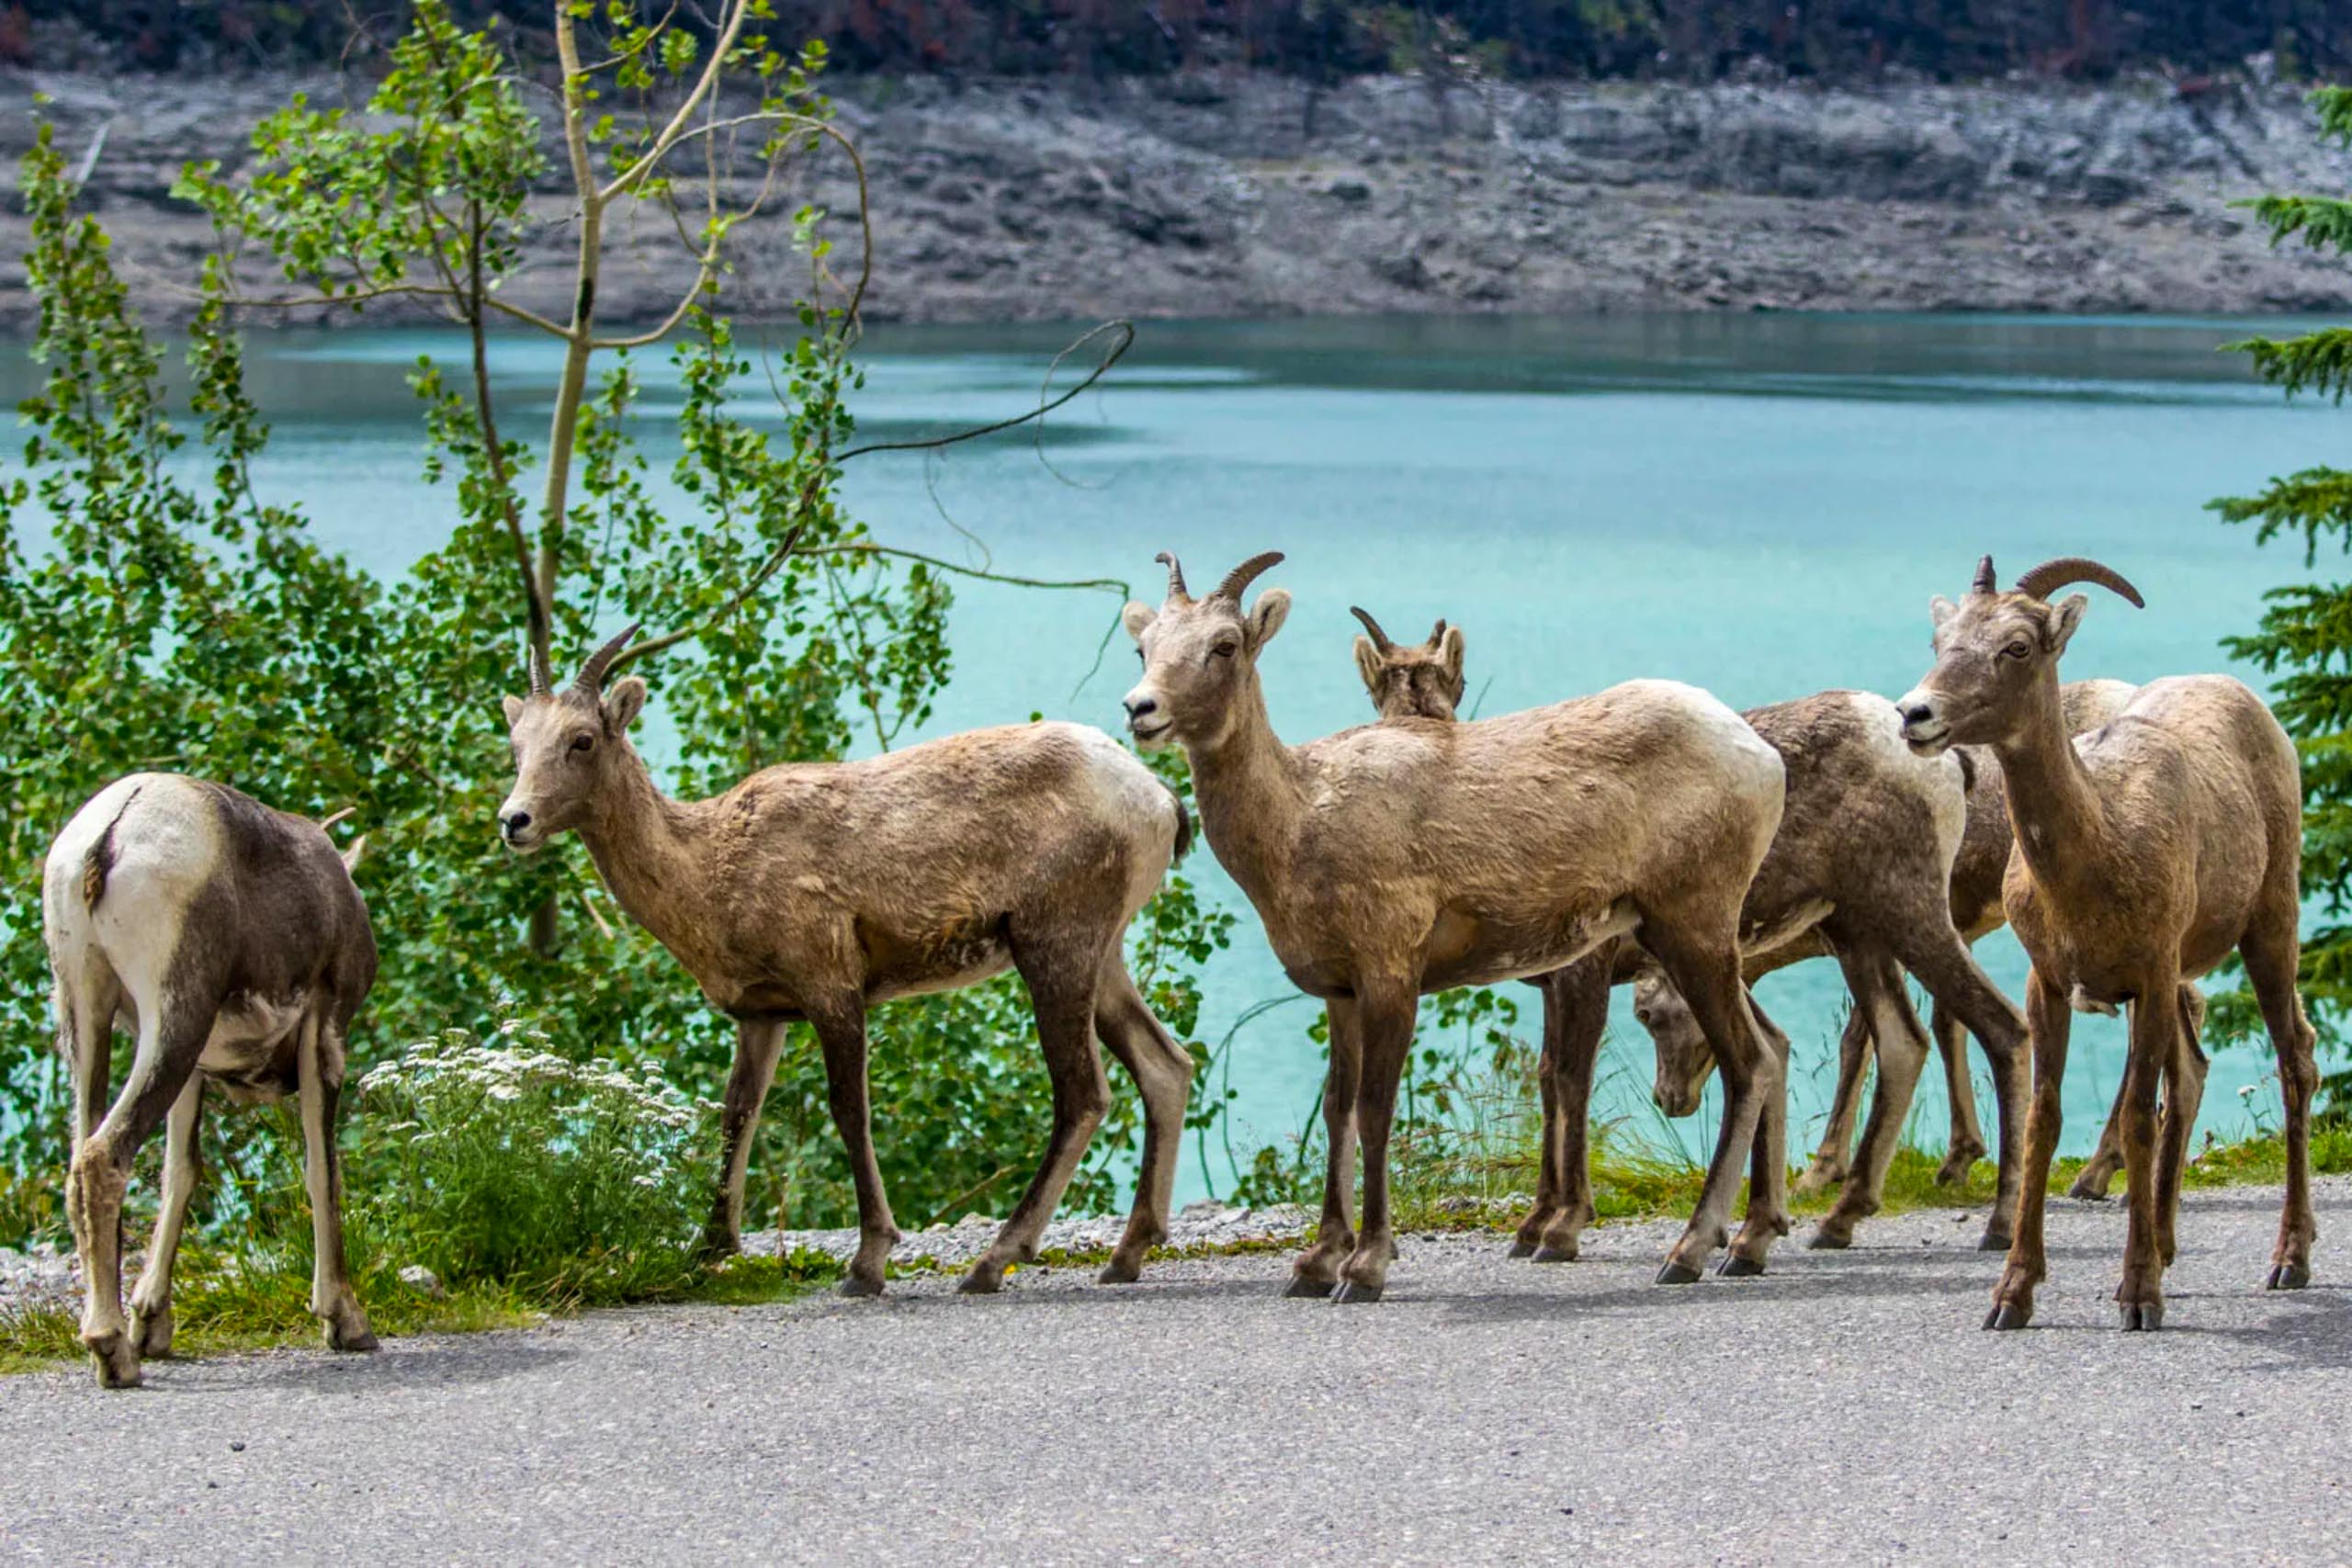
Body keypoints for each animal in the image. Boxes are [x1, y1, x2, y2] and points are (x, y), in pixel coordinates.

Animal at [42, 775, 380, 1382]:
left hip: (86, 1010)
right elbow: (323, 1171)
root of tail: (107, 837)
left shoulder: (198, 1071)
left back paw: (118, 1342)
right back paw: (112, 1351)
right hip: (175, 1014)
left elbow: (181, 1171)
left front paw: (153, 1325)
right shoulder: (325, 1031)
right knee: (104, 1155)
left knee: (82, 1159)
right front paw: (346, 1321)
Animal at [498, 625, 1194, 1297]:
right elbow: (737, 1111)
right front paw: (707, 1251)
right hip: (1104, 952)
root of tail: (1161, 802)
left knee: (1083, 1091)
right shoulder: (761, 1012)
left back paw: (992, 1262)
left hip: (1055, 939)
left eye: (583, 739)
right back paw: (1125, 1255)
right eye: (516, 742)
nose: (514, 820)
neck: (708, 877)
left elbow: (848, 1109)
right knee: (1166, 1064)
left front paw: (867, 1263)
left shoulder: (831, 979)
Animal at [1128, 554, 1787, 1297]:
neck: (1299, 823)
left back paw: (1690, 1253)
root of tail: (1762, 758)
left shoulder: (1392, 973)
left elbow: (1377, 1110)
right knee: (1767, 1052)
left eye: (1224, 645)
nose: (1141, 709)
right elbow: (1337, 1111)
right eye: (1144, 647)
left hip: (1692, 925)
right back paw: (1744, 1247)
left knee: (1748, 1064)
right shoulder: (1339, 992)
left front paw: (1365, 1268)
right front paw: (1314, 1264)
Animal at [1354, 606, 2031, 1259]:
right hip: (1856, 933)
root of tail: (1944, 765)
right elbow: (1550, 1078)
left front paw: (1560, 1228)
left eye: (1456, 684)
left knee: (1998, 1027)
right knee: (1902, 1041)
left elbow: (1569, 1078)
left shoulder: (1585, 967)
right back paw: (1833, 1221)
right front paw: (1537, 1224)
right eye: (1378, 693)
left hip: (1910, 913)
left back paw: (1998, 1224)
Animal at [1891, 557, 2314, 1335]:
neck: (2104, 843)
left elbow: (2137, 1119)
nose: (1915, 715)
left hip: (2270, 926)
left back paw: (2288, 1261)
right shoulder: (2051, 984)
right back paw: (2171, 1246)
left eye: (2018, 645)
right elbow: (2046, 1117)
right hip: (2183, 981)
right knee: (2192, 1073)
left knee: (2294, 1060)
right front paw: (2012, 1295)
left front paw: (2139, 1297)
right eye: (1941, 637)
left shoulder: (2148, 973)